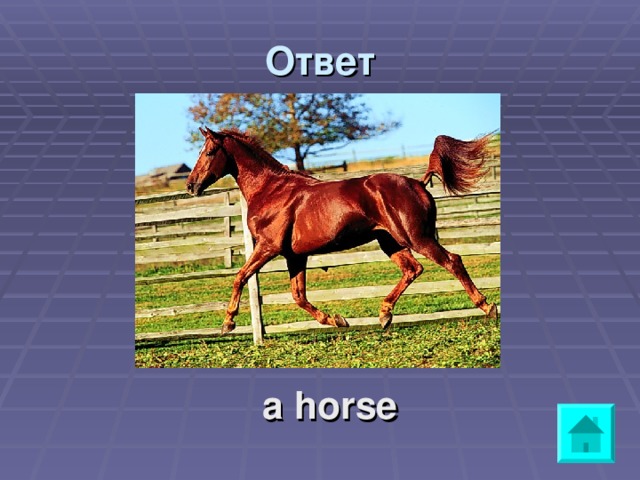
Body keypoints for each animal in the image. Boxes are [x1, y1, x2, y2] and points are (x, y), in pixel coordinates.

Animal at [187, 127, 498, 335]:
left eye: (210, 152)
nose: (191, 185)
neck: (271, 190)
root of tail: (419, 183)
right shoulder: (294, 255)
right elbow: (298, 295)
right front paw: (336, 320)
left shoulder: (268, 247)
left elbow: (240, 277)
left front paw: (228, 322)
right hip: (390, 242)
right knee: (413, 269)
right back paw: (384, 315)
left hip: (417, 238)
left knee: (452, 261)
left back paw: (487, 306)